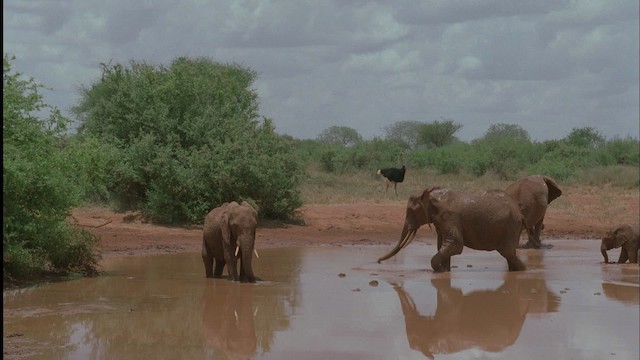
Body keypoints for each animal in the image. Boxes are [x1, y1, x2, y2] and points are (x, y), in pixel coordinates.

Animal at [378, 187, 528, 272]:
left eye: (410, 211)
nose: (378, 261)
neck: (431, 195)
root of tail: (519, 212)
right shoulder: (440, 221)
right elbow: (442, 245)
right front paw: (444, 271)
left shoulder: (449, 217)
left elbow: (455, 244)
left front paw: (440, 271)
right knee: (509, 254)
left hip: (511, 225)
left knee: (507, 252)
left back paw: (524, 271)